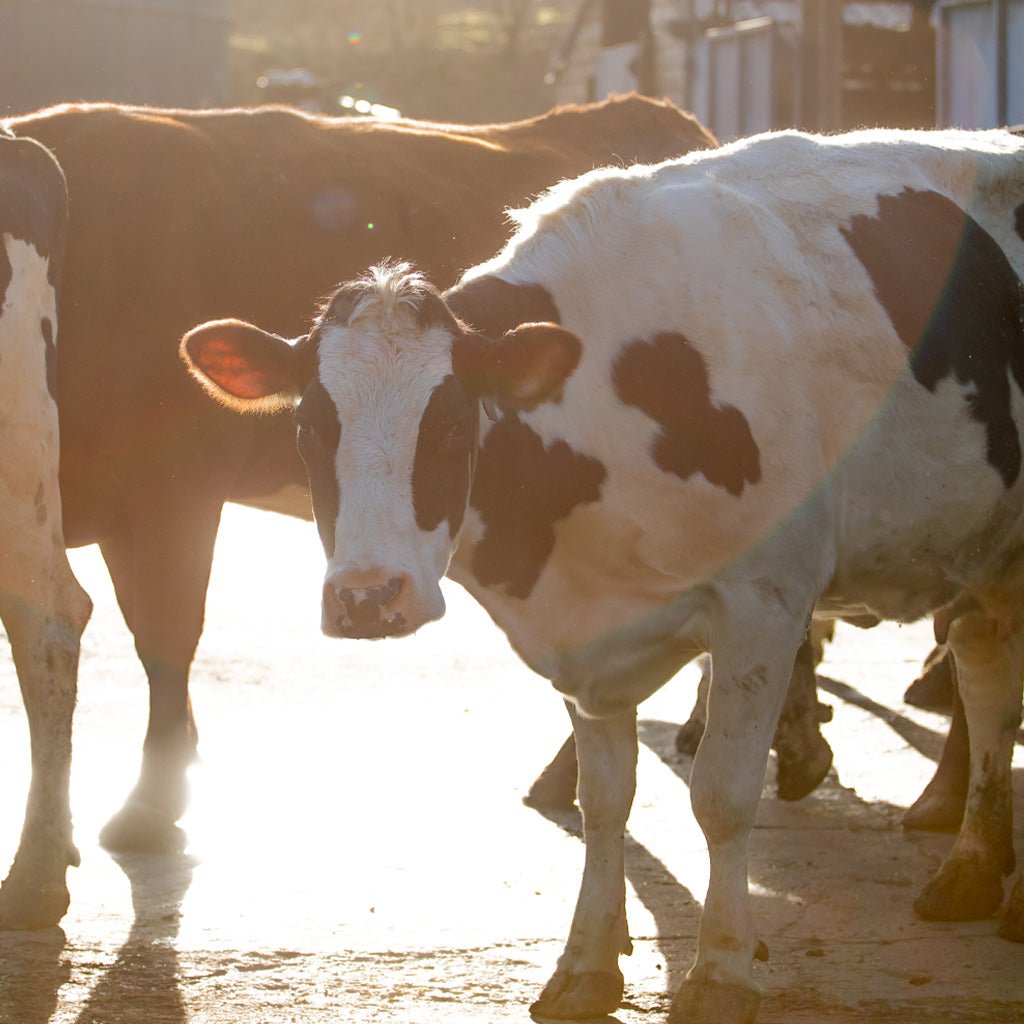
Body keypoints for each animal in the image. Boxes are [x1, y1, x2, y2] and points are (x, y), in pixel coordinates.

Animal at [181, 126, 1024, 1022]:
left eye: (450, 425)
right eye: (310, 427)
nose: (368, 598)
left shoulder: (765, 599)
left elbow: (722, 795)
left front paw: (721, 972)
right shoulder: (585, 630)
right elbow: (605, 801)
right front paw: (585, 964)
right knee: (987, 684)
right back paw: (972, 869)